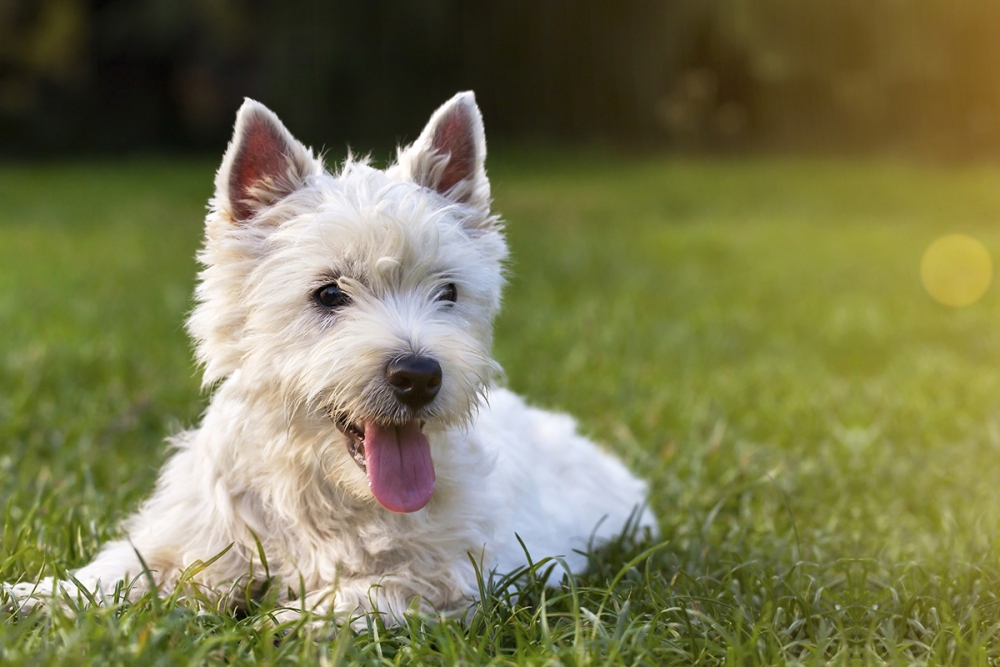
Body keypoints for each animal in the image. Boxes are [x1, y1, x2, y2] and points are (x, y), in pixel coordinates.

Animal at [5, 91, 656, 624]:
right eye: (328, 293)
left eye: (447, 291)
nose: (418, 376)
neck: (325, 489)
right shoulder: (195, 538)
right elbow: (119, 572)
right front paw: (31, 597)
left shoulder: (448, 577)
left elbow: (347, 599)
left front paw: (270, 626)